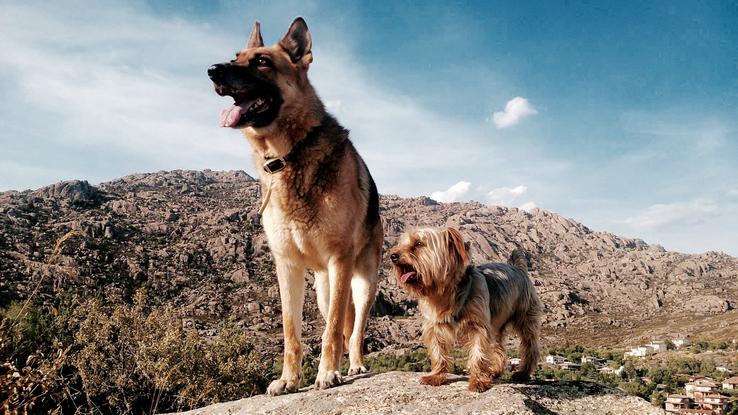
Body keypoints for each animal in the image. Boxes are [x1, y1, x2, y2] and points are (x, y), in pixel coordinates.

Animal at [206, 17, 380, 394]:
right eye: (235, 57)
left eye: (261, 61)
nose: (212, 70)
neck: (288, 156)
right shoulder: (287, 265)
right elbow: (291, 332)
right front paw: (289, 379)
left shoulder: (340, 259)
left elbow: (333, 330)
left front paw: (327, 373)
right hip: (324, 289)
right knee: (340, 325)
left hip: (362, 283)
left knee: (354, 329)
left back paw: (355, 365)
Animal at [392, 229, 540, 392]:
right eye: (401, 244)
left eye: (418, 244)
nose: (393, 256)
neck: (444, 293)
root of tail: (519, 268)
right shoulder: (434, 326)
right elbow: (438, 352)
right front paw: (435, 376)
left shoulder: (478, 326)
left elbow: (478, 353)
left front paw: (478, 381)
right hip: (496, 323)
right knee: (499, 347)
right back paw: (495, 370)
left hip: (525, 317)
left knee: (530, 345)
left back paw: (523, 373)